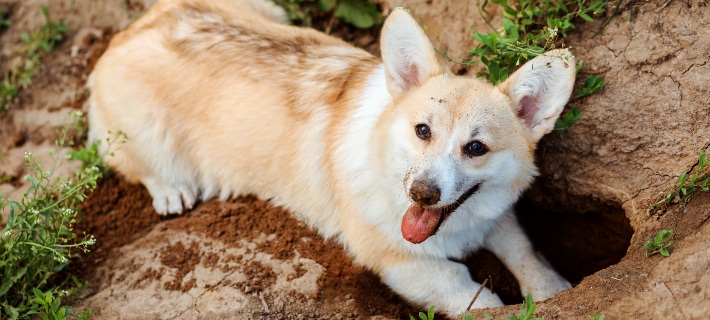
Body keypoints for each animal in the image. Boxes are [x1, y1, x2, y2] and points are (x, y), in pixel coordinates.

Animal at [89, 0, 580, 316]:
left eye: (476, 148)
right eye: (422, 130)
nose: (421, 193)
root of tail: (125, 34)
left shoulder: (496, 217)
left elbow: (524, 251)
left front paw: (555, 290)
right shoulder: (402, 265)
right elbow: (473, 295)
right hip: (144, 134)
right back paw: (171, 190)